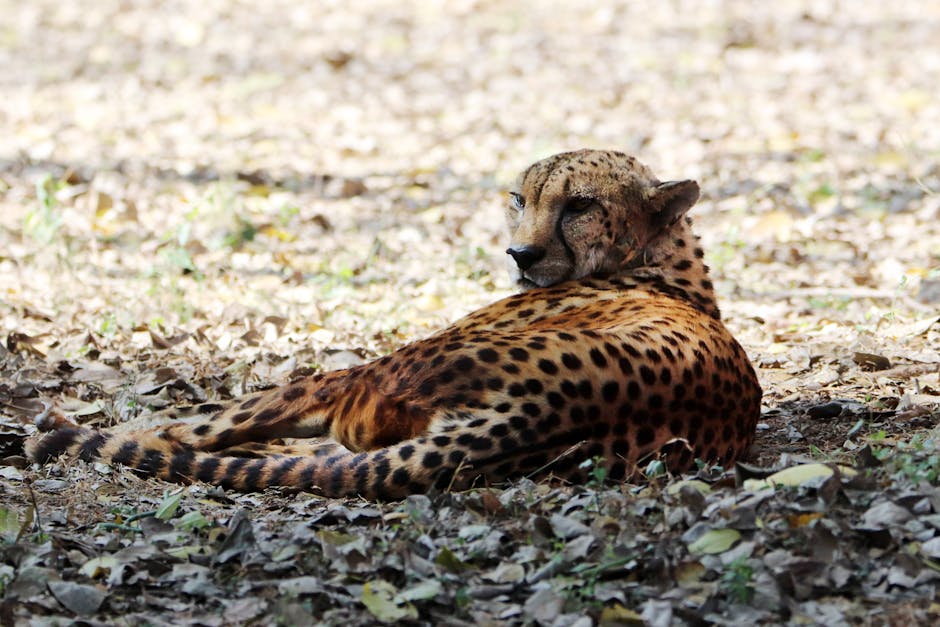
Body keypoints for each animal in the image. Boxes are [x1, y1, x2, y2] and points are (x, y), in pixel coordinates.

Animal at [26, 149, 762, 499]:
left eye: (579, 204)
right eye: (519, 199)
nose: (520, 254)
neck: (657, 259)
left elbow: (188, 417)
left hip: (364, 379)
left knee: (200, 430)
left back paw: (55, 434)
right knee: (284, 455)